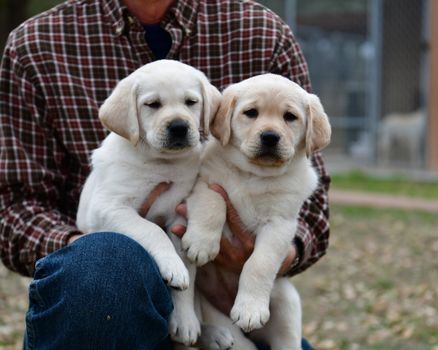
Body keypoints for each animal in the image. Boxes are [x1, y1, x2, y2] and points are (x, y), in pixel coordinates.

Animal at [76, 60, 222, 348]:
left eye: (191, 102)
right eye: (152, 104)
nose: (178, 126)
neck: (160, 163)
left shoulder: (179, 218)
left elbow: (188, 272)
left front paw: (185, 319)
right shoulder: (110, 207)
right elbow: (151, 229)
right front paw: (172, 267)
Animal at [182, 74, 332, 350]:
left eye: (290, 117)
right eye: (251, 113)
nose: (270, 137)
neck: (255, 175)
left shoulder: (280, 224)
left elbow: (259, 263)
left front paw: (250, 309)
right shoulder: (206, 183)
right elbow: (213, 204)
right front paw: (201, 243)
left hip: (286, 304)